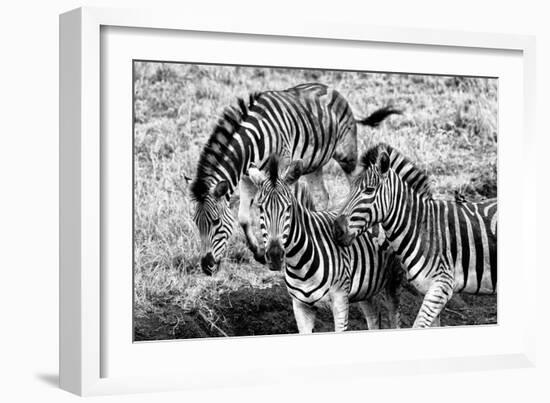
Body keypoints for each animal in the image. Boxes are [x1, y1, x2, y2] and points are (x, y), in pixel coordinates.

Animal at [190, 83, 402, 276]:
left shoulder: (281, 169)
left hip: (346, 155)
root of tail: (332, 89)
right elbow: (242, 217)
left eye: (216, 222)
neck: (252, 142)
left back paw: (372, 231)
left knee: (355, 184)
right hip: (314, 164)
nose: (206, 266)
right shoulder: (246, 177)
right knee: (322, 196)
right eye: (196, 223)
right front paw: (258, 252)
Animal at [248, 153, 404, 332]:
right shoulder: (300, 306)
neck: (300, 264)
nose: (274, 256)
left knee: (394, 318)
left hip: (394, 279)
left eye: (288, 208)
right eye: (260, 208)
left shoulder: (340, 300)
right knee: (373, 319)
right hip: (367, 288)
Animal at [332, 144, 500, 328]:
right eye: (350, 190)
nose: (336, 230)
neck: (423, 228)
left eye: (369, 190)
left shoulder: (441, 286)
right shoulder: (429, 289)